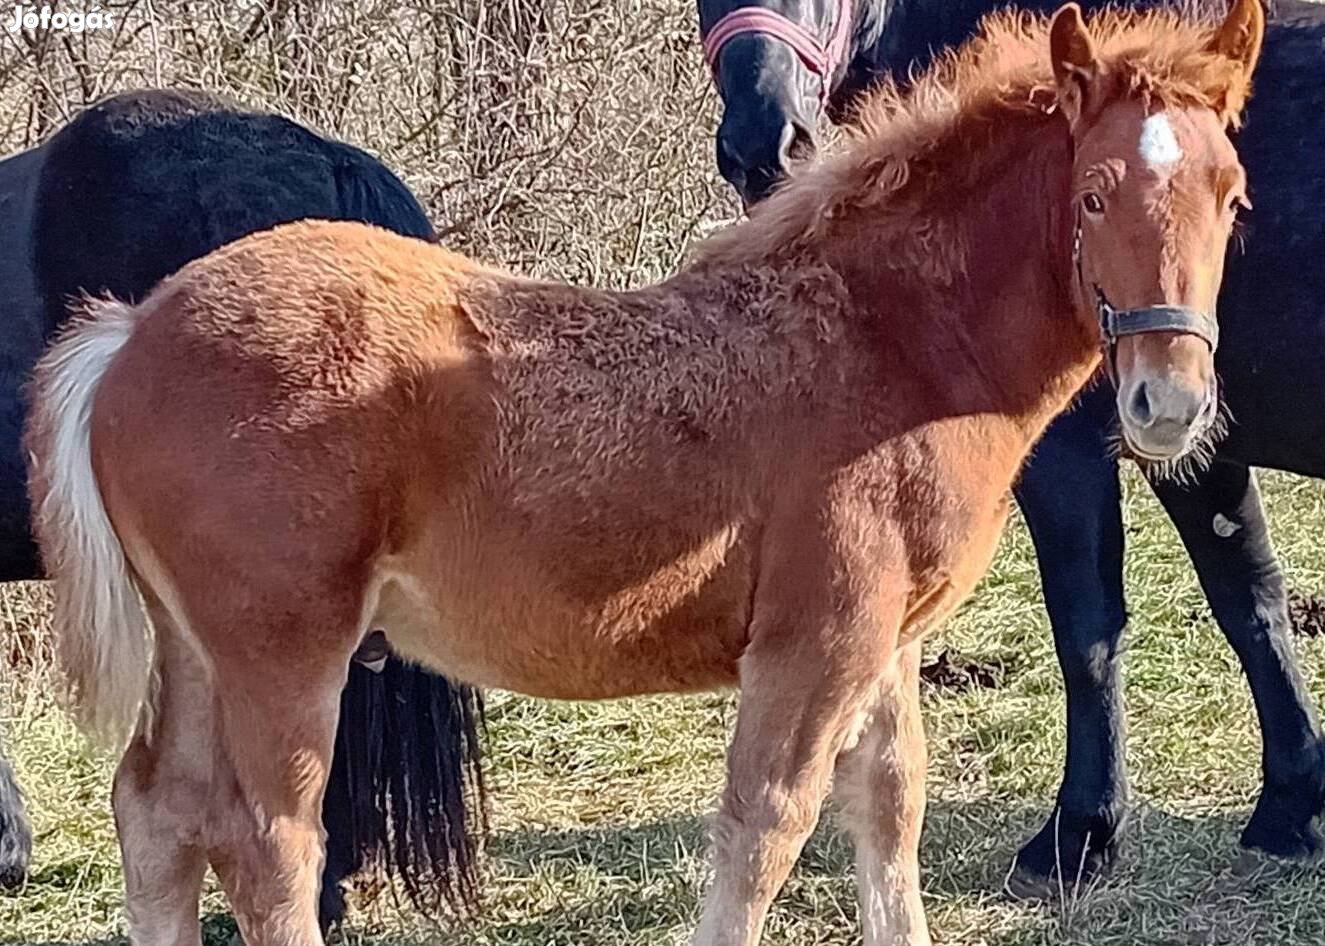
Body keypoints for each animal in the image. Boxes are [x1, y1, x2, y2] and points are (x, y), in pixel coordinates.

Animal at [710, 0, 1325, 890]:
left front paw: (1079, 834)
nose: (763, 138)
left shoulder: (1073, 448)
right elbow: (1248, 600)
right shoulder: (1191, 437)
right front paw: (1290, 807)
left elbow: (1087, 628)